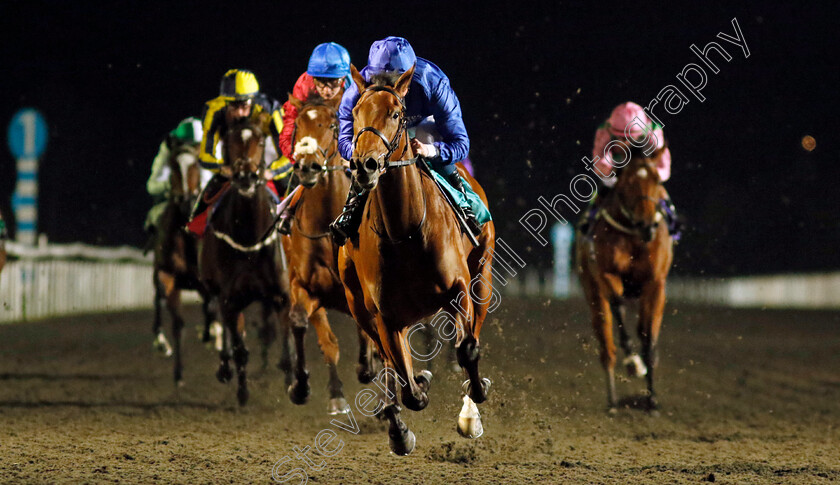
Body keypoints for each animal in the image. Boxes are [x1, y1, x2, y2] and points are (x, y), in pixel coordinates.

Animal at [153, 142, 221, 384]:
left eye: (195, 165)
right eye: (173, 165)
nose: (184, 200)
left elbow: (211, 307)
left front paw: (212, 334)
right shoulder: (168, 275)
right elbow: (177, 323)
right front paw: (179, 373)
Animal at [199, 114, 290, 404]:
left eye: (261, 140)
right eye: (229, 139)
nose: (246, 176)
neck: (250, 237)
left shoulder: (281, 295)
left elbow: (287, 348)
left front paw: (293, 384)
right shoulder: (230, 299)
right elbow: (239, 348)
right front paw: (242, 393)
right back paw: (225, 367)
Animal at [280, 94, 376, 412]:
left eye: (332, 123)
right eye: (298, 124)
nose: (307, 166)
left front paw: (367, 367)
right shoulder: (304, 286)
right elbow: (303, 324)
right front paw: (301, 387)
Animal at [342, 65, 496, 454]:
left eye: (396, 114)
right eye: (355, 113)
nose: (365, 165)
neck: (406, 230)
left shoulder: (458, 289)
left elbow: (467, 349)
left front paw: (474, 400)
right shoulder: (384, 316)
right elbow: (404, 383)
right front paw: (413, 397)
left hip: (482, 278)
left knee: (473, 332)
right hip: (359, 305)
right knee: (387, 365)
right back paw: (398, 422)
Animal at [576, 144, 676, 412]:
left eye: (656, 180)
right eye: (628, 182)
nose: (647, 225)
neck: (633, 234)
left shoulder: (655, 284)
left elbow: (649, 338)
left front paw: (652, 400)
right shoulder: (606, 274)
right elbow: (618, 307)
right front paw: (633, 362)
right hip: (592, 292)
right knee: (606, 344)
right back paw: (612, 401)